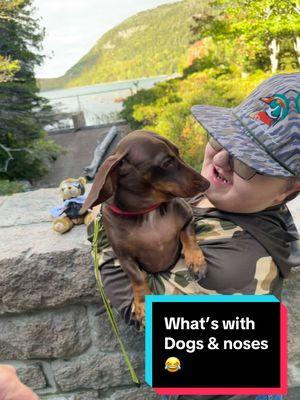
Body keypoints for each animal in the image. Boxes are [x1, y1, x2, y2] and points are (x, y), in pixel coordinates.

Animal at [81, 130, 210, 324]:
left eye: (178, 153)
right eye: (167, 162)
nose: (207, 183)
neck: (148, 212)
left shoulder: (187, 216)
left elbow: (188, 236)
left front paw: (196, 261)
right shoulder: (124, 256)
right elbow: (136, 277)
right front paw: (141, 304)